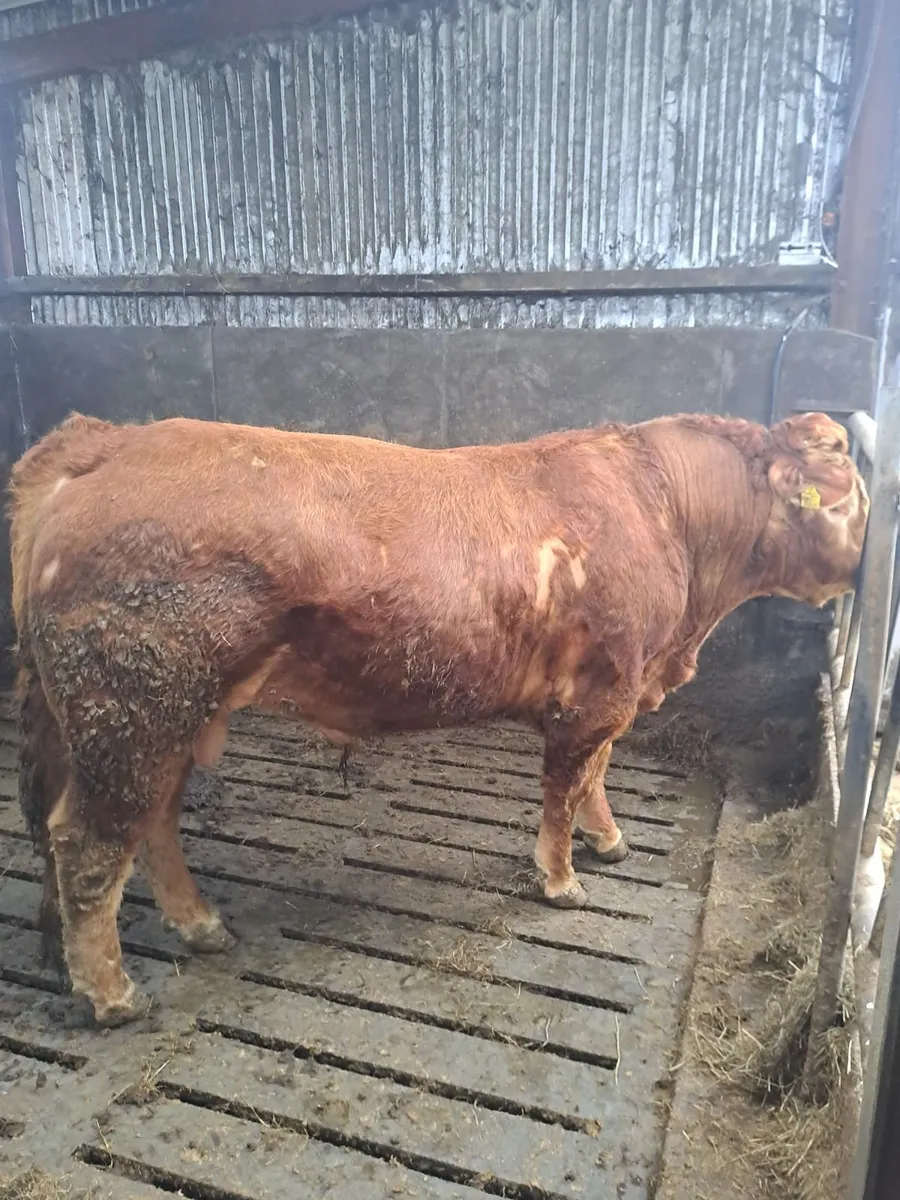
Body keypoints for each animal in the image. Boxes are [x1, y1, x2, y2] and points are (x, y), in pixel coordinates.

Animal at [7, 409, 866, 1027]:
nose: (864, 571)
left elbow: (596, 773)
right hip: (133, 712)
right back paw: (113, 996)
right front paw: (562, 880)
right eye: (852, 496)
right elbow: (566, 784)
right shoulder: (596, 694)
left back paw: (198, 924)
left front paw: (610, 840)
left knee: (149, 825)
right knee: (88, 845)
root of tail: (106, 441)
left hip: (166, 718)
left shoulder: (618, 691)